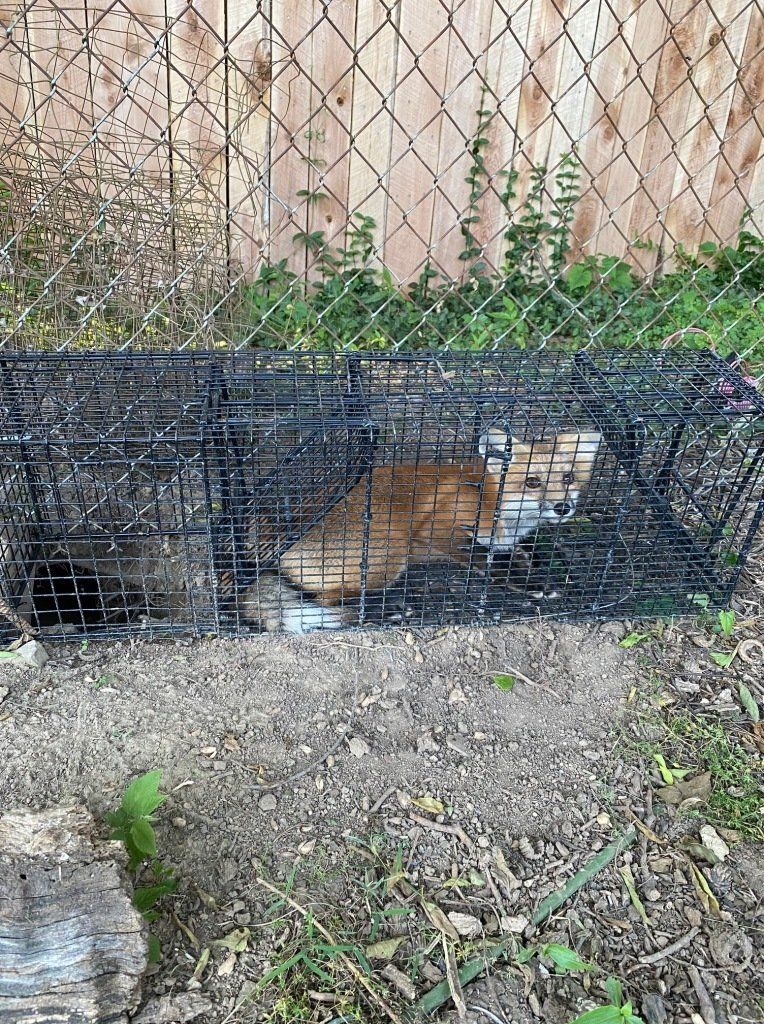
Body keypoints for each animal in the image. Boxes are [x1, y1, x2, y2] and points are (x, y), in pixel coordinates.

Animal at [239, 428, 602, 633]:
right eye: (533, 482)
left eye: (568, 477)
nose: (562, 508)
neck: (494, 501)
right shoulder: (439, 528)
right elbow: (483, 561)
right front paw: (529, 584)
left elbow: (512, 552)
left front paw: (530, 568)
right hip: (389, 552)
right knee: (329, 599)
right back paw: (384, 612)